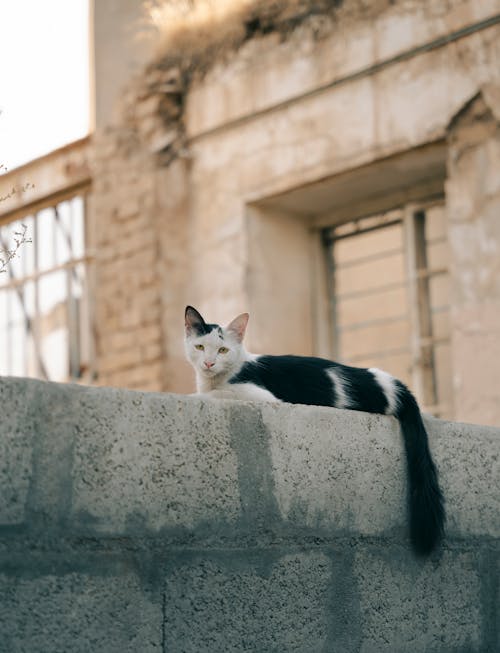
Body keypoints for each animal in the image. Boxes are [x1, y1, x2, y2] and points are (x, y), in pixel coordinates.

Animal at [185, 304, 446, 552]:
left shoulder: (261, 395)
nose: (209, 363)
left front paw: (196, 395)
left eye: (223, 350)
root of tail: (395, 385)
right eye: (199, 347)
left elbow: (214, 394)